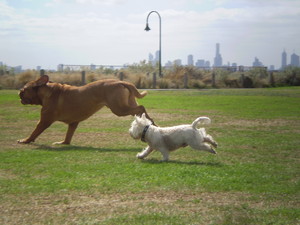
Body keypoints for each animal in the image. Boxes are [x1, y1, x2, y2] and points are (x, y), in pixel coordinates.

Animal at [18, 75, 155, 145]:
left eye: (24, 89)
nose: (19, 94)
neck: (48, 91)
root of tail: (121, 82)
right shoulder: (73, 123)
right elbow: (68, 136)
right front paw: (64, 142)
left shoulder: (44, 120)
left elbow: (35, 131)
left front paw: (26, 140)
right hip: (126, 105)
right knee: (139, 110)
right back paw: (151, 124)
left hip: (119, 109)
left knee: (141, 108)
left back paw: (151, 123)